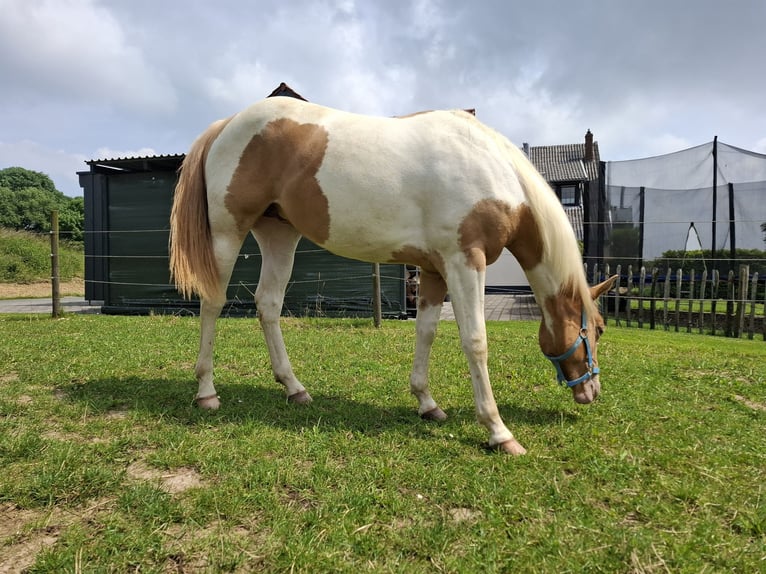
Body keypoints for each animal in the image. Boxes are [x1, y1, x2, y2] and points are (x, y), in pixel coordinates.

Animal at [170, 97, 616, 456]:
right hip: (228, 233)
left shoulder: (434, 270)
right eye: (598, 329)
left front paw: (427, 403)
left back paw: (295, 388)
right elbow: (475, 342)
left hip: (279, 235)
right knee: (213, 303)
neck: (493, 167)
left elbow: (427, 333)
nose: (591, 391)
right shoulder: (465, 261)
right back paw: (207, 392)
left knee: (268, 304)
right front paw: (498, 431)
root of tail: (227, 123)